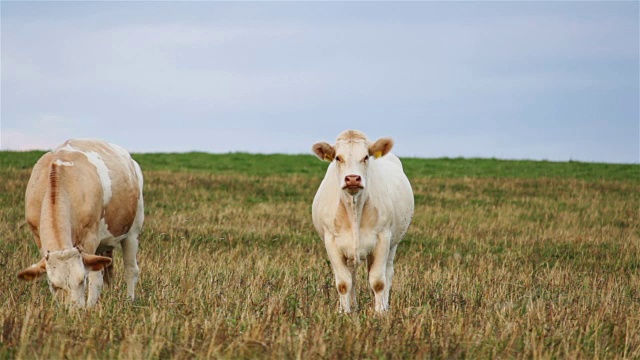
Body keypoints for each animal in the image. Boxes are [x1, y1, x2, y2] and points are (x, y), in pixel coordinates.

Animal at [16, 139, 144, 308]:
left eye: (82, 279)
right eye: (54, 285)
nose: (74, 310)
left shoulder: (90, 239)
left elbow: (95, 277)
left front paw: (90, 307)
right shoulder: (39, 240)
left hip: (132, 232)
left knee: (130, 269)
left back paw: (129, 301)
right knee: (108, 268)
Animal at [312, 129, 416, 312]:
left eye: (366, 157)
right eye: (338, 157)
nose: (353, 178)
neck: (354, 210)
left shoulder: (383, 238)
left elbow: (378, 281)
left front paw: (380, 312)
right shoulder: (331, 241)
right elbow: (344, 283)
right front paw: (345, 312)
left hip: (393, 244)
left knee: (388, 272)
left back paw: (385, 306)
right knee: (352, 274)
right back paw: (352, 306)